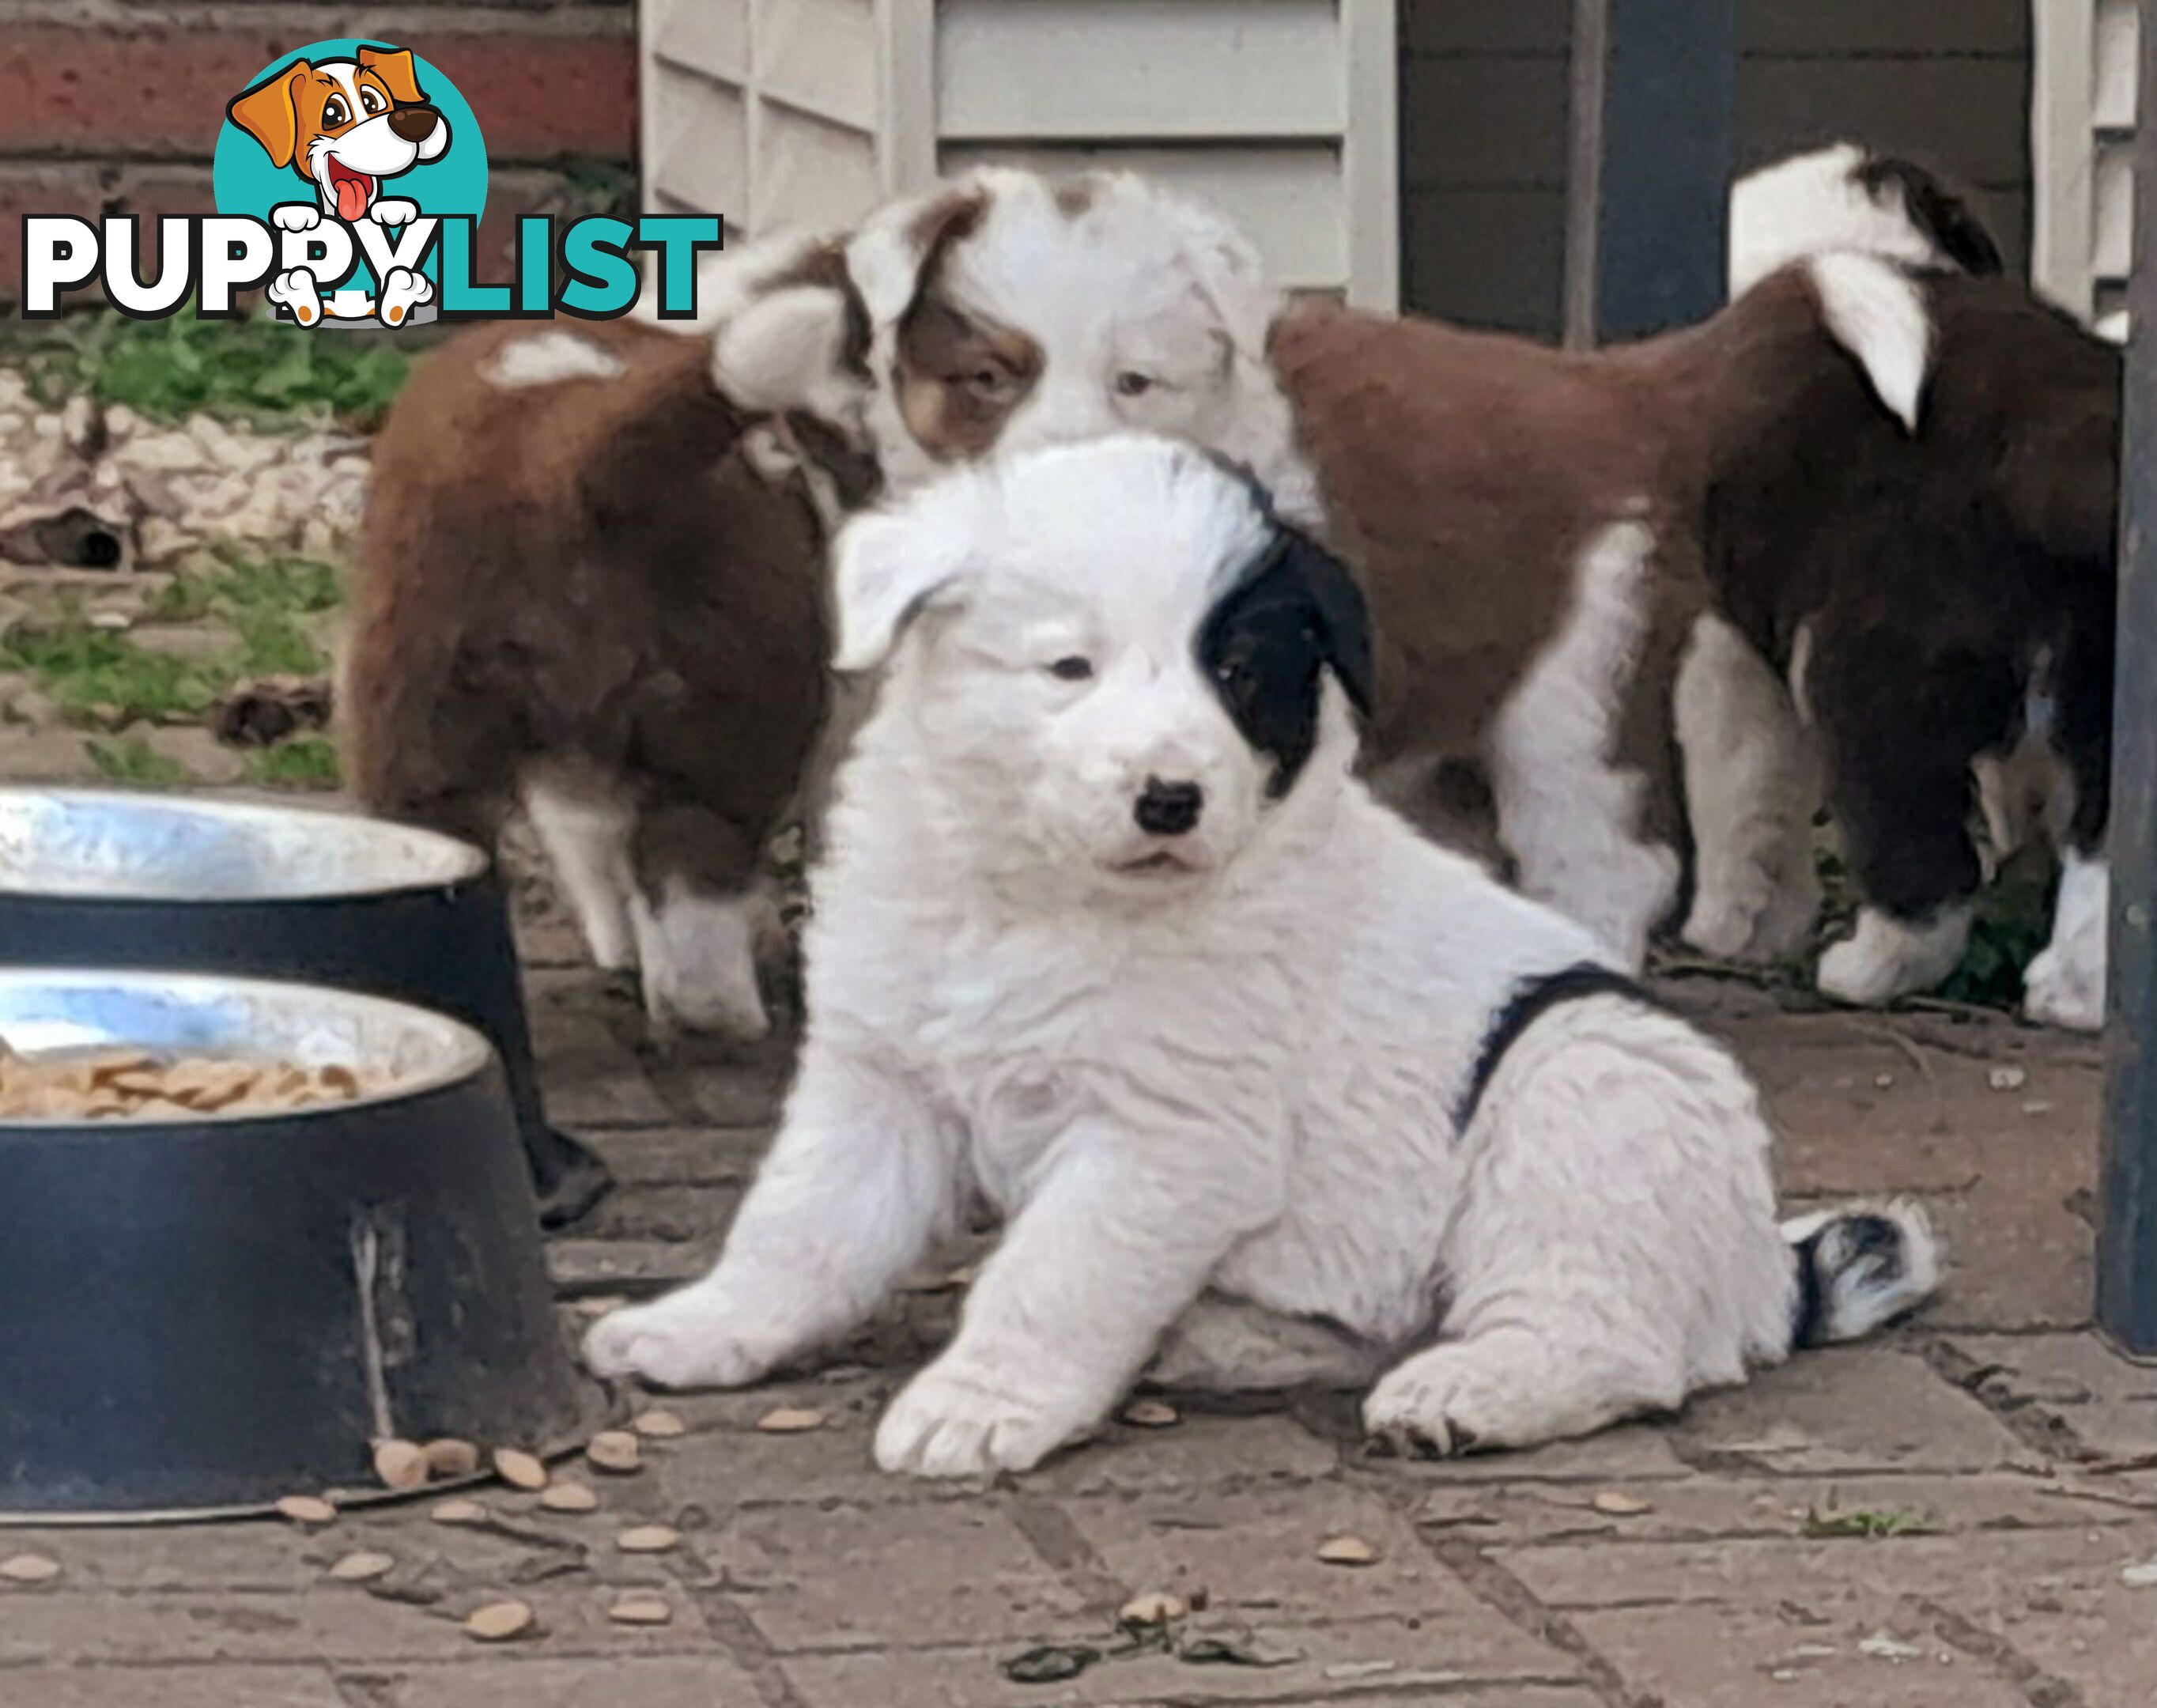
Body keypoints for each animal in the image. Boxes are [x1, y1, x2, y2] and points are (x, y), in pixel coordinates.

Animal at [582, 433, 1950, 1475]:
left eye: (1238, 672)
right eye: (1069, 667)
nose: (1171, 800)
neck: (1041, 897)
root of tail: (1762, 1270)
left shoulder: (1163, 1139)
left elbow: (1050, 1277)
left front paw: (980, 1403)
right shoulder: (882, 1082)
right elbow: (799, 1228)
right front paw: (704, 1327)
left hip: (1582, 1091)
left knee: (1609, 1338)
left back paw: (1467, 1390)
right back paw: (1221, 1340)